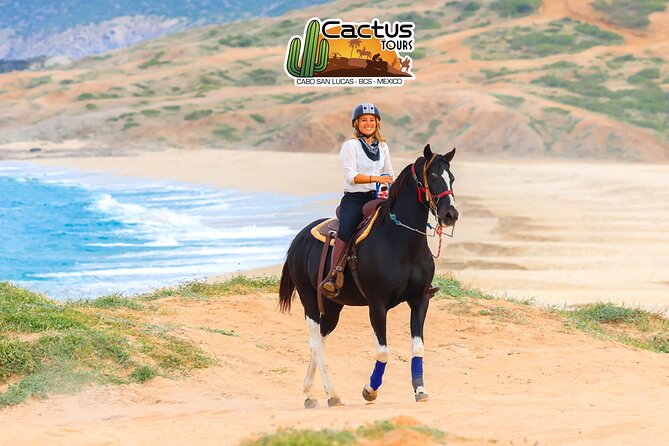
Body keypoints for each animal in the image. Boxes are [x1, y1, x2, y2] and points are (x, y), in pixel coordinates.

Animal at [278, 144, 459, 408]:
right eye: (433, 176)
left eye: (451, 177)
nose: (450, 215)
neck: (400, 243)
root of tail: (299, 239)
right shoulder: (377, 304)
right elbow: (383, 350)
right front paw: (370, 390)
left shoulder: (420, 300)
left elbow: (418, 347)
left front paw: (420, 389)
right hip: (308, 298)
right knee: (315, 343)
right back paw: (331, 394)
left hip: (333, 306)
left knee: (320, 341)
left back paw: (310, 393)